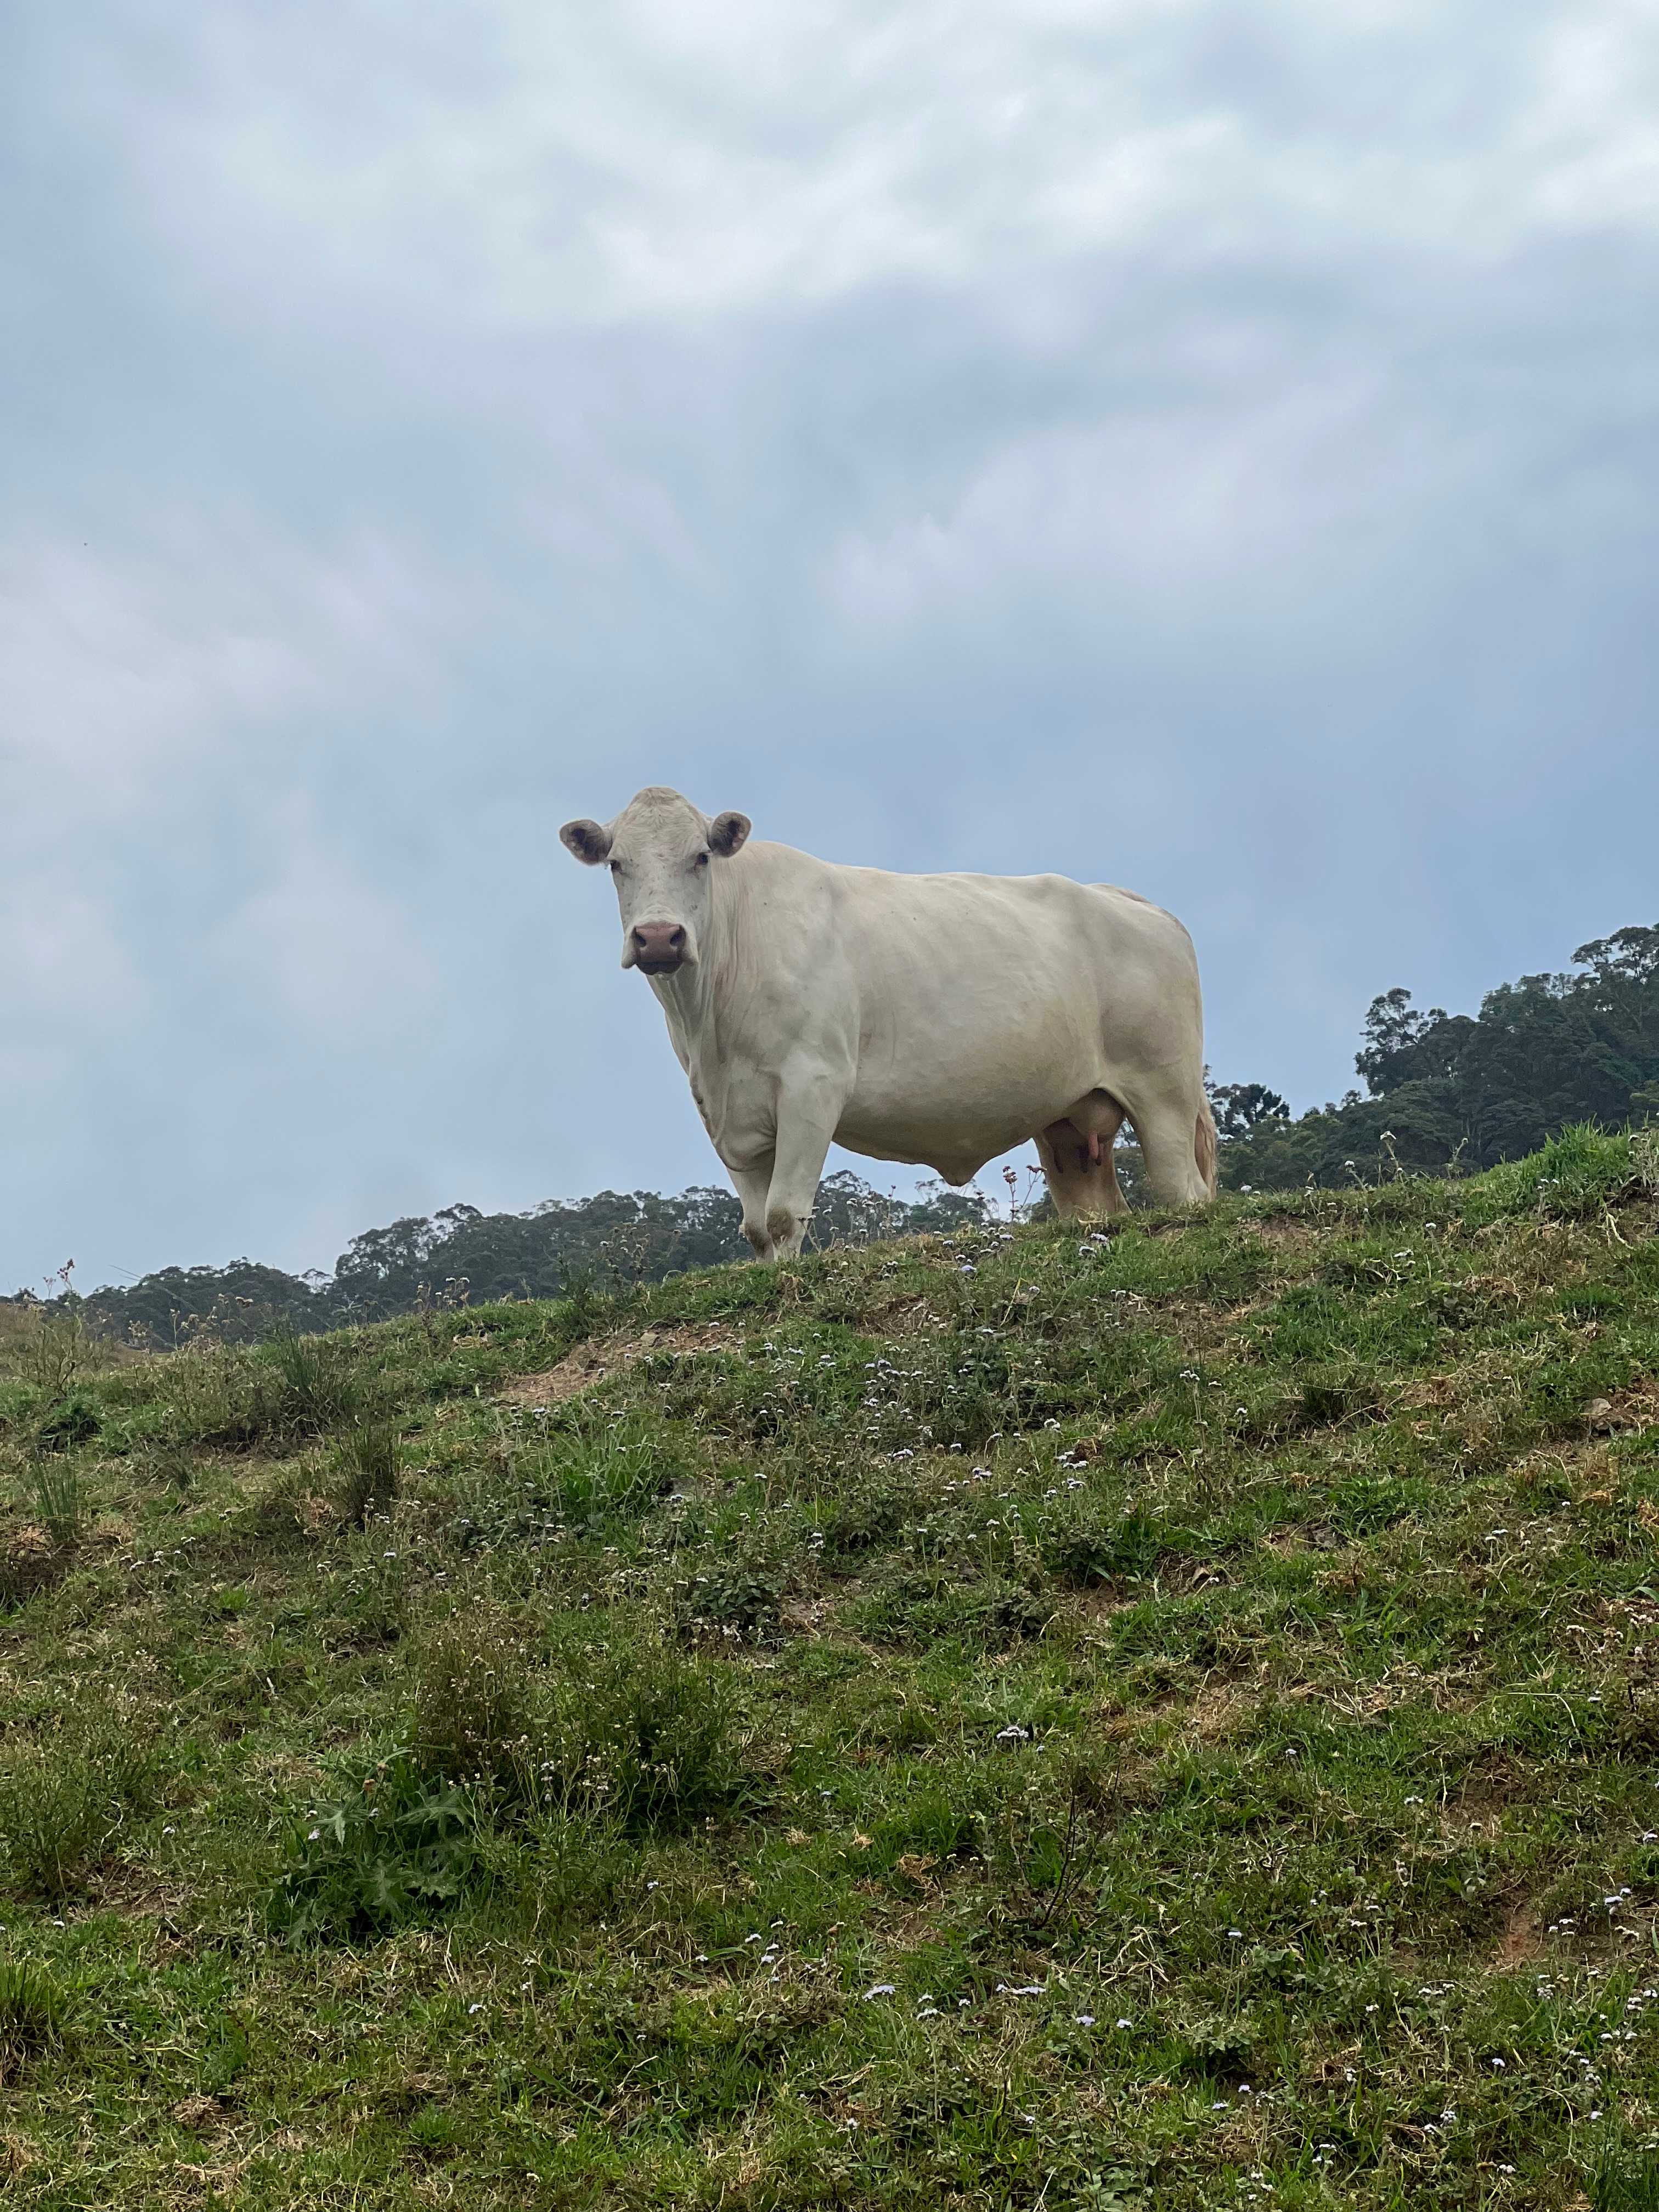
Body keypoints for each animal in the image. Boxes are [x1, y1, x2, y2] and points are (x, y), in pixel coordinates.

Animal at [560, 786, 1216, 1260]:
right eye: (616, 864)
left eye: (699, 858)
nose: (658, 937)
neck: (712, 1031)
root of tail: (1130, 900)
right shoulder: (724, 1111)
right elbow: (755, 1226)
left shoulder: (814, 1083)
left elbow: (783, 1215)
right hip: (1068, 1121)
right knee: (1097, 1206)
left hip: (1165, 1093)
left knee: (1185, 1192)